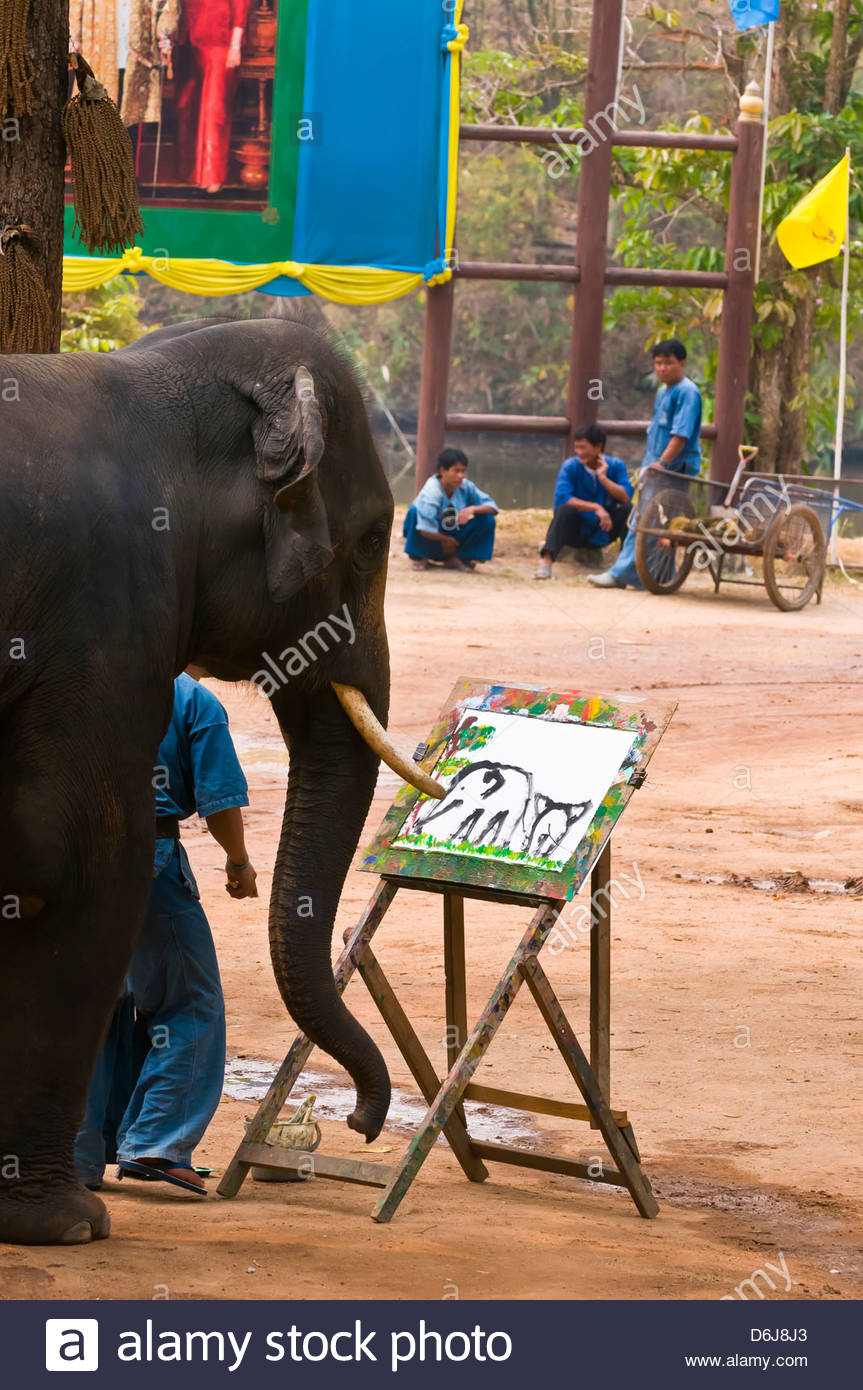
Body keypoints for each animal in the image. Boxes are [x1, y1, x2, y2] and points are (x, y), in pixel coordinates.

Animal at [0, 315, 441, 1246]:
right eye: (370, 543)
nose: (361, 1122)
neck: (158, 375)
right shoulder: (104, 613)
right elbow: (79, 861)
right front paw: (66, 1224)